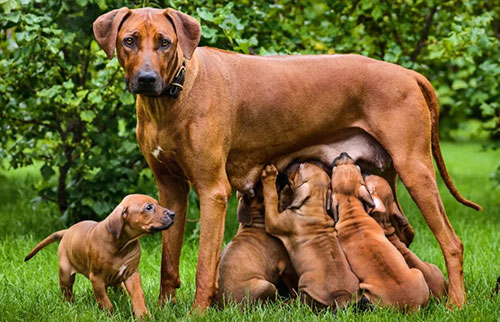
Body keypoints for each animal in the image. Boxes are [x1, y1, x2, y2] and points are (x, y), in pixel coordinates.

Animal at [24, 194, 176, 316]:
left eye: (157, 203)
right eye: (148, 207)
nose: (173, 214)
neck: (122, 245)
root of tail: (67, 231)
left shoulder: (132, 274)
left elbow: (138, 295)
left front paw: (143, 315)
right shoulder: (97, 279)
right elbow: (104, 301)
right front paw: (111, 316)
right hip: (65, 274)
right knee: (67, 292)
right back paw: (70, 306)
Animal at [260, 164, 362, 310]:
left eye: (300, 166)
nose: (290, 165)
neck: (315, 206)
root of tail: (340, 296)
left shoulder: (273, 221)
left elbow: (271, 198)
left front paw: (269, 176)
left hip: (304, 282)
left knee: (303, 303)